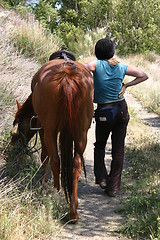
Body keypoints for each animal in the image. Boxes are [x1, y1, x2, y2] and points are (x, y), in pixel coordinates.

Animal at [12, 57, 94, 221]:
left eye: (17, 132)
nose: (13, 148)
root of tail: (67, 74)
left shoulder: (42, 128)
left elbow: (45, 156)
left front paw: (42, 183)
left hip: (49, 131)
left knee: (55, 160)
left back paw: (55, 195)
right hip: (81, 133)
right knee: (76, 163)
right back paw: (73, 211)